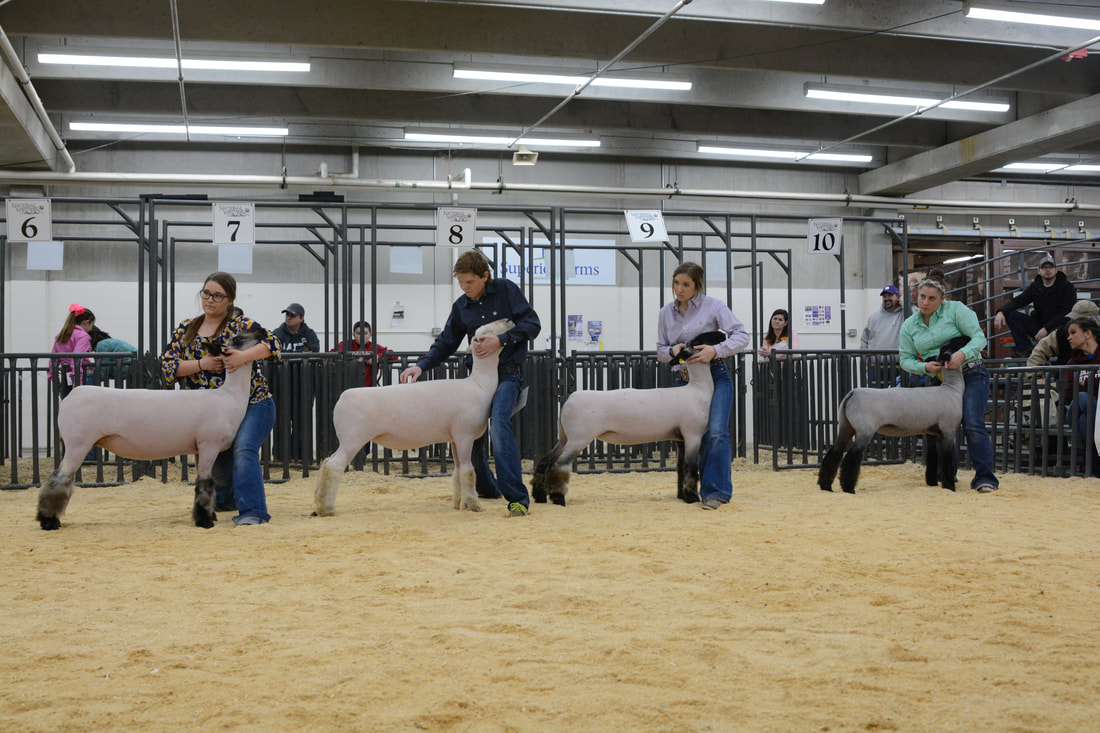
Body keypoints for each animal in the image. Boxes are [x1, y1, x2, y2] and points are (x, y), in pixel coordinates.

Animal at [36, 326, 268, 530]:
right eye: (238, 338)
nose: (262, 330)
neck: (230, 396)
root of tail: (69, 398)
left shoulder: (199, 447)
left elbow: (207, 485)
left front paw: (209, 515)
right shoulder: (209, 444)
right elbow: (204, 483)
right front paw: (205, 522)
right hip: (78, 443)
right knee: (59, 479)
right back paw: (48, 522)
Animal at [313, 318, 515, 517]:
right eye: (487, 330)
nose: (509, 320)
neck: (479, 385)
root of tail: (342, 398)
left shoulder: (455, 438)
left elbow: (458, 471)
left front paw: (459, 503)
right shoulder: (465, 434)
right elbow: (468, 471)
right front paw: (473, 505)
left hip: (347, 440)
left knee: (326, 463)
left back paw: (318, 504)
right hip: (352, 439)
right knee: (333, 466)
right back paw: (326, 508)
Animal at [530, 331, 729, 506]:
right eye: (701, 338)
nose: (723, 334)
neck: (698, 389)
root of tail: (568, 400)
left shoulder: (680, 438)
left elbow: (680, 467)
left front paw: (681, 495)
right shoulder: (692, 434)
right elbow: (691, 467)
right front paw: (691, 498)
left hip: (565, 437)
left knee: (546, 461)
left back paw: (540, 496)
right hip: (579, 438)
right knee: (559, 464)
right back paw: (558, 498)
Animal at [817, 342, 967, 494]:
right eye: (957, 346)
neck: (952, 389)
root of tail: (852, 393)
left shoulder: (932, 432)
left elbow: (932, 457)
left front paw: (932, 483)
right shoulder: (948, 430)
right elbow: (947, 459)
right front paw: (949, 486)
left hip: (846, 426)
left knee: (834, 452)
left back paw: (826, 486)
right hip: (864, 430)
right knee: (851, 457)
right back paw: (848, 488)